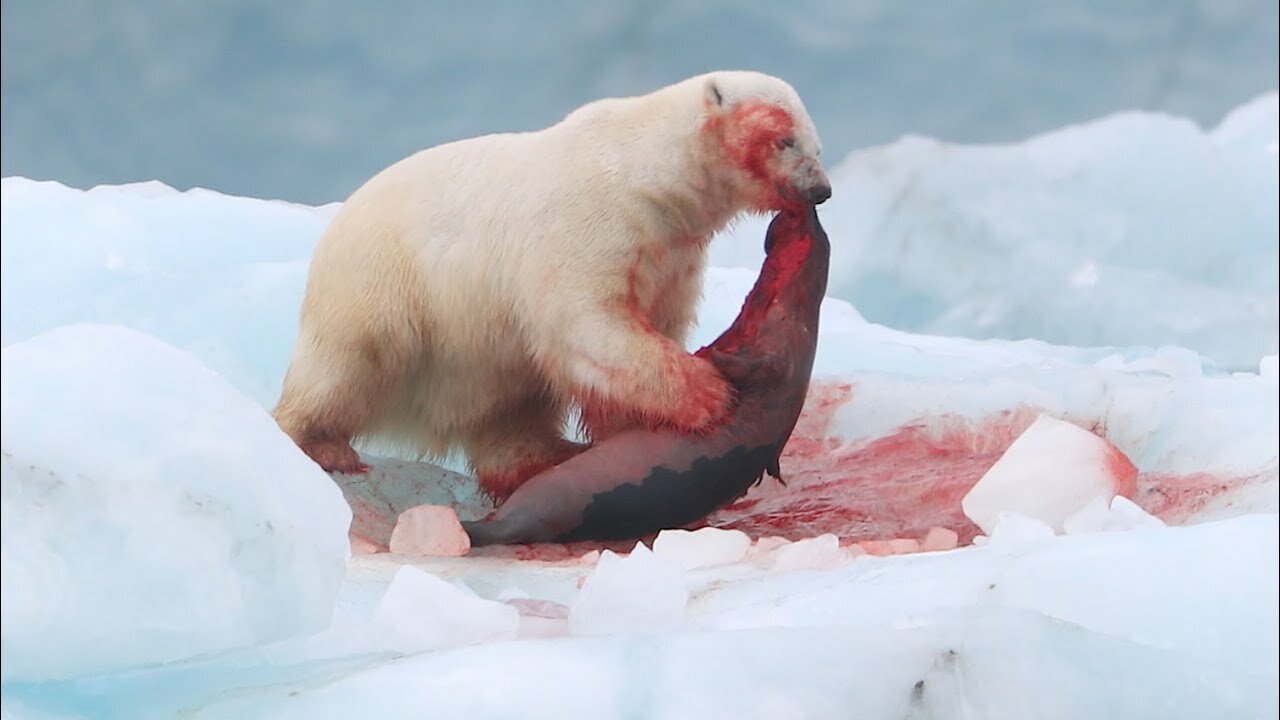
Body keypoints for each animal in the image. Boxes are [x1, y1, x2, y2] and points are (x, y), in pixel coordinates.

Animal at [273, 73, 824, 499]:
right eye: (785, 140)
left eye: (816, 144)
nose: (820, 189)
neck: (652, 175)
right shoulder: (593, 221)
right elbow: (586, 322)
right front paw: (711, 395)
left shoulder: (671, 255)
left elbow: (646, 326)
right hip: (383, 288)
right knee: (349, 365)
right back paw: (320, 444)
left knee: (510, 408)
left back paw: (549, 457)